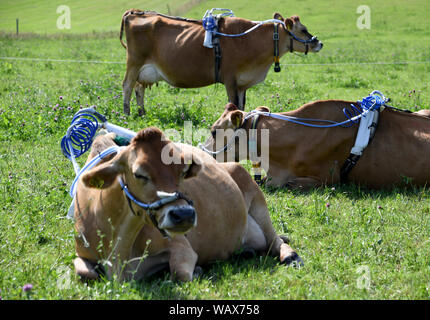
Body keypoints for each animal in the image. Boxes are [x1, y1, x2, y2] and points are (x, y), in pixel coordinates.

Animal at [73, 126, 302, 282]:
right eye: (139, 174)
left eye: (182, 172)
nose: (183, 214)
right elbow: (84, 271)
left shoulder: (181, 246)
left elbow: (180, 273)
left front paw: (198, 270)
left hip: (256, 197)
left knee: (274, 240)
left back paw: (290, 255)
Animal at [119, 9, 320, 115]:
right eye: (303, 30)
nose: (319, 43)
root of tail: (137, 13)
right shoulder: (230, 79)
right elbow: (233, 104)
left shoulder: (242, 83)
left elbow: (241, 105)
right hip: (134, 62)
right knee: (128, 85)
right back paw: (127, 114)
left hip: (144, 70)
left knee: (139, 88)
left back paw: (142, 113)